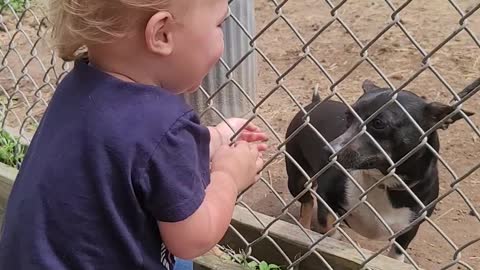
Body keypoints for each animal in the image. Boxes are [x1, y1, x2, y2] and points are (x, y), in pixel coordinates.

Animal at [284, 79, 476, 260]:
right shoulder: (326, 199)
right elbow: (329, 227)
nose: (327, 150)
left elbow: (396, 256)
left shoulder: (408, 230)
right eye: (348, 116)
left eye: (379, 123)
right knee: (307, 202)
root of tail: (315, 103)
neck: (382, 182)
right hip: (297, 179)